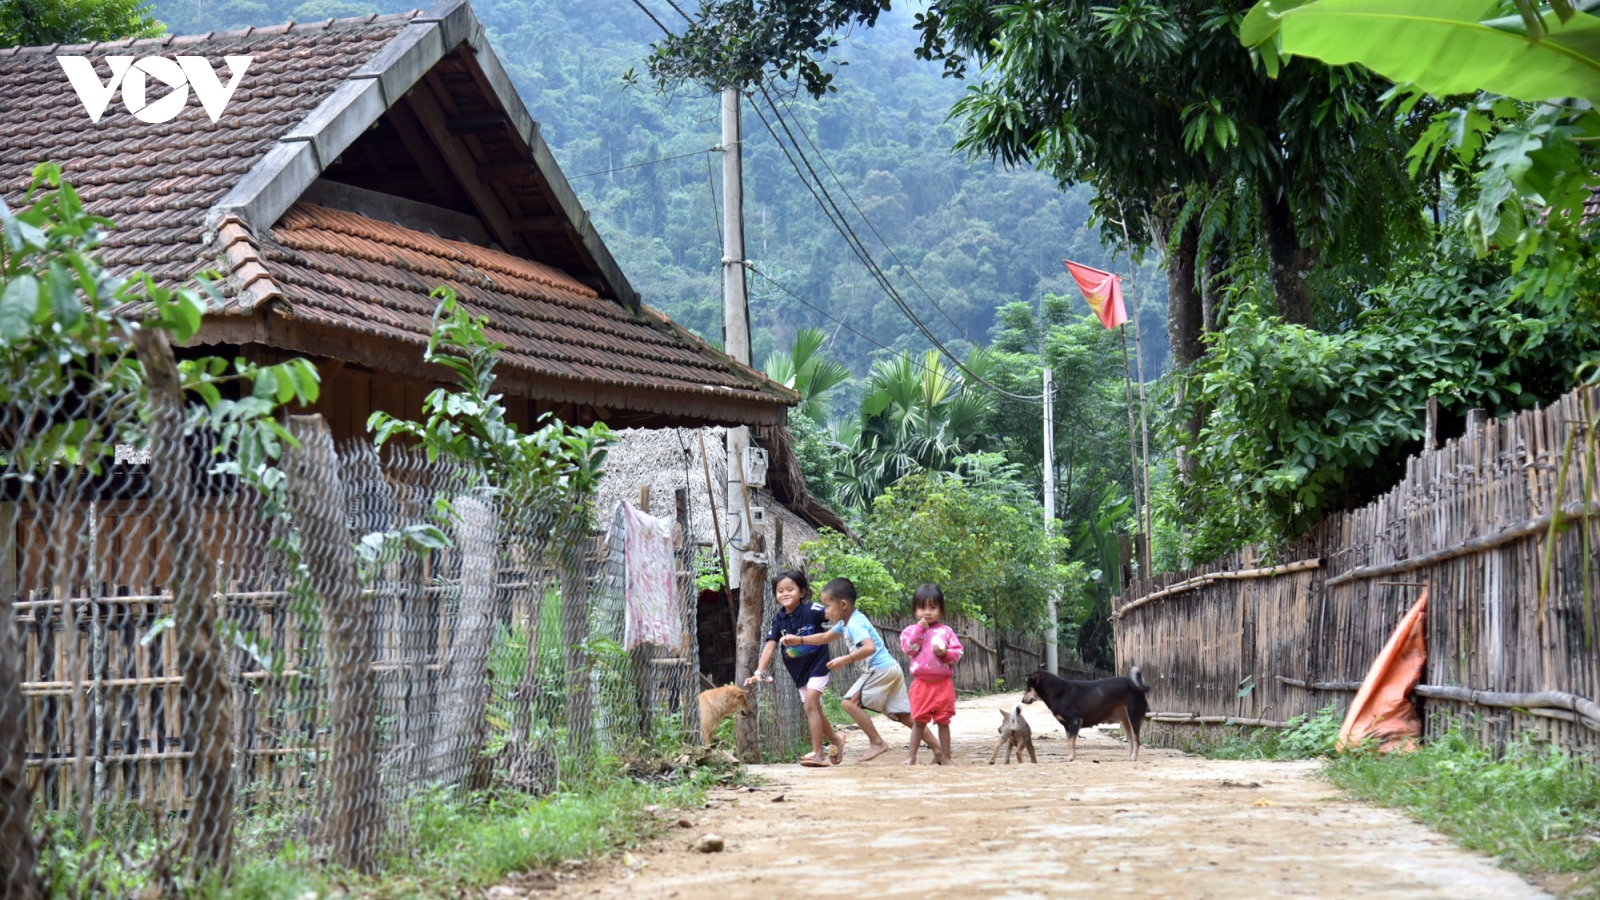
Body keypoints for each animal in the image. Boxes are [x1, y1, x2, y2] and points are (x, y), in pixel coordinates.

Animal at [1024, 666, 1152, 755]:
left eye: (1028, 688)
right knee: (1132, 742)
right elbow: (1069, 742)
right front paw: (1071, 757)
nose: (1022, 700)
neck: (1057, 691)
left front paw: (1070, 758)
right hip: (1126, 722)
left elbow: (1071, 742)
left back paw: (1133, 759)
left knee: (1137, 742)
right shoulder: (1067, 726)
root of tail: (1133, 684)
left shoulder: (1075, 721)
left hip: (1134, 718)